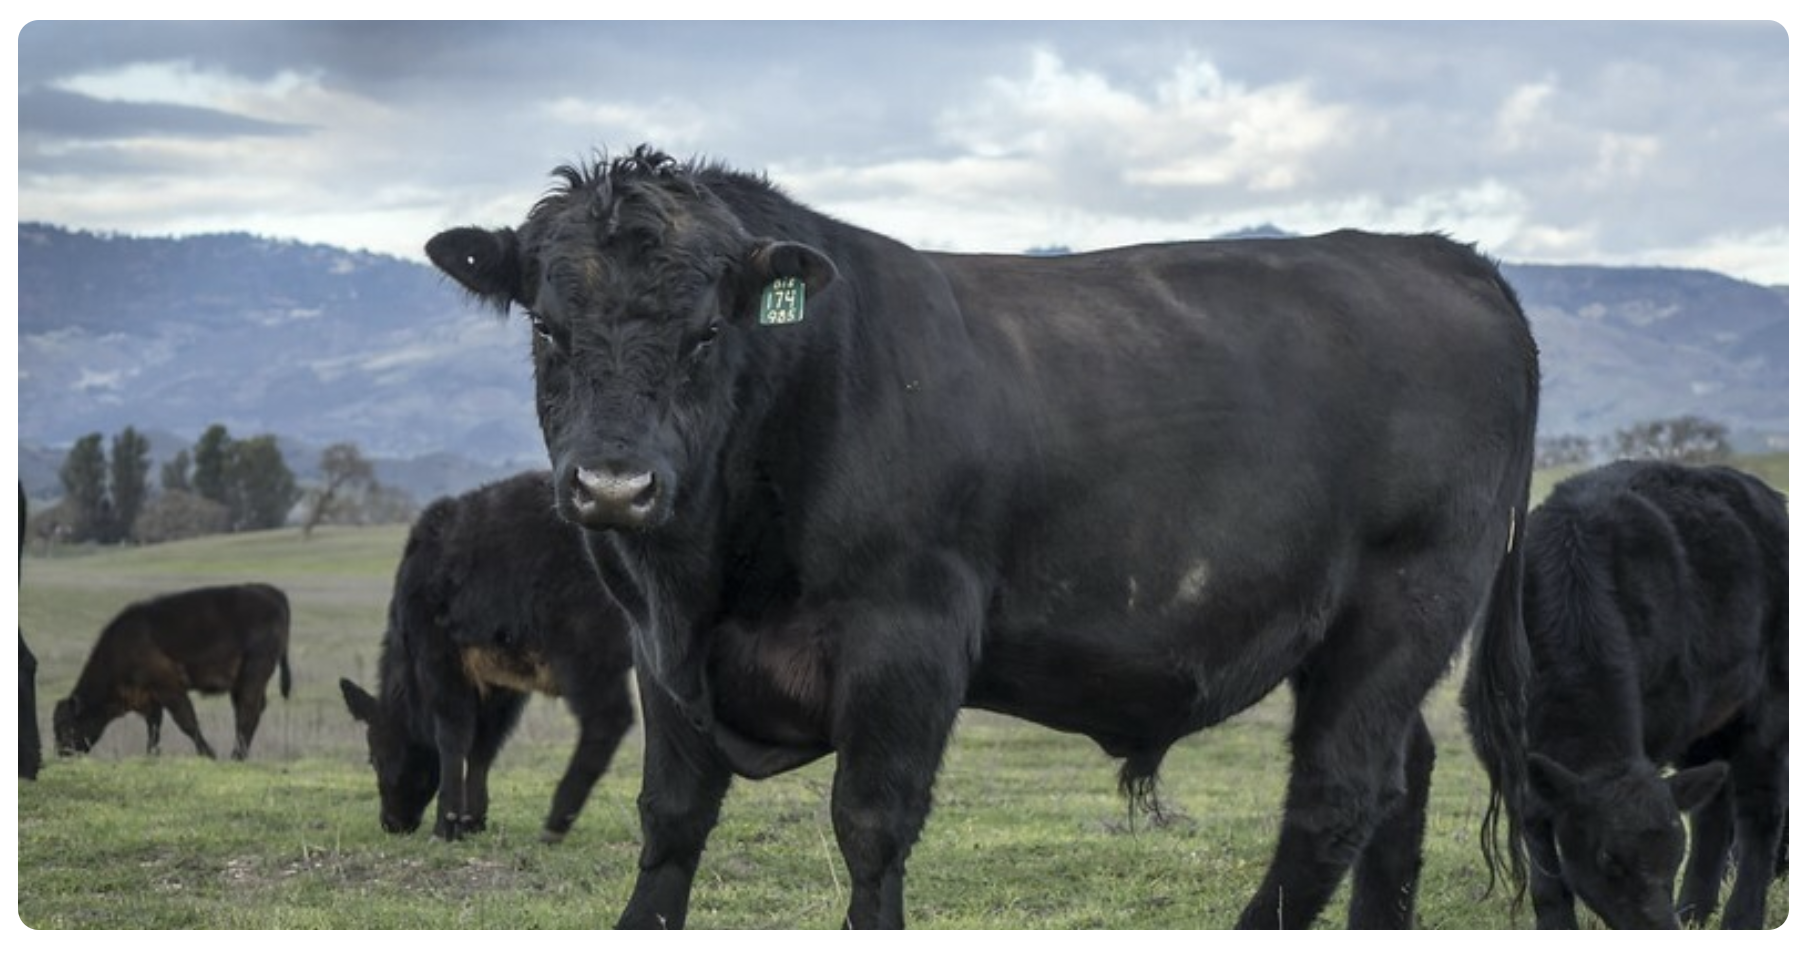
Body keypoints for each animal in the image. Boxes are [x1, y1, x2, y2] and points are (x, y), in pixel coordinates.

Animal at [53, 583, 292, 761]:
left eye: (65, 726)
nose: (62, 753)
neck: (123, 645)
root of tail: (273, 592)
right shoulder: (150, 698)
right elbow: (154, 728)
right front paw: (151, 756)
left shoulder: (169, 688)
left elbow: (187, 722)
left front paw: (208, 754)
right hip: (241, 682)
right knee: (248, 711)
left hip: (253, 674)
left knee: (247, 712)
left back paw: (236, 757)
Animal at [339, 471, 636, 843]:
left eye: (374, 757)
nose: (391, 823)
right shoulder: (501, 683)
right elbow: (484, 745)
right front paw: (473, 820)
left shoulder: (441, 661)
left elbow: (453, 738)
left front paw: (447, 823)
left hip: (585, 649)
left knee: (608, 719)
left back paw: (557, 820)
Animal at [425, 145, 1540, 929]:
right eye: (547, 328)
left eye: (707, 332)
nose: (614, 484)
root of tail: (1439, 254)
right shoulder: (662, 653)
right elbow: (669, 822)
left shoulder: (907, 636)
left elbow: (870, 823)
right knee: (1399, 782)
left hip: (1400, 607)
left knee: (1335, 797)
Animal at [1462, 460, 1787, 929]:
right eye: (1607, 858)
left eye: (1671, 857)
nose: (1662, 927)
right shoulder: (1512, 762)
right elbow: (1545, 871)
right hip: (1708, 721)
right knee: (1713, 807)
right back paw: (1694, 910)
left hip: (1769, 707)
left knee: (1760, 813)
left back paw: (1740, 918)